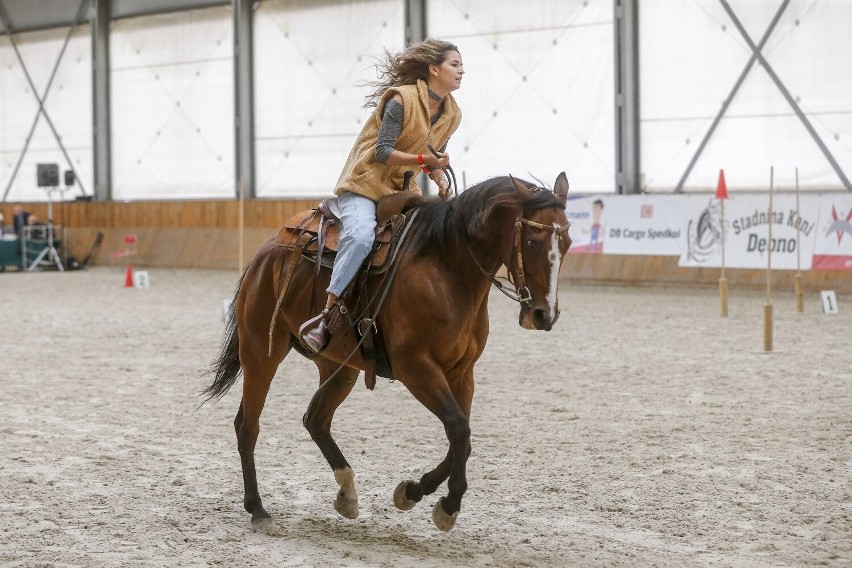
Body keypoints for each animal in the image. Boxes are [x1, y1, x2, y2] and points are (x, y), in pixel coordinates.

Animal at [202, 172, 568, 532]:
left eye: (566, 243)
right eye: (532, 242)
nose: (543, 315)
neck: (446, 268)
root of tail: (266, 253)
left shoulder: (462, 372)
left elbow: (461, 437)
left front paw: (412, 492)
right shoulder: (416, 368)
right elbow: (458, 429)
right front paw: (447, 506)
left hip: (340, 367)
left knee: (315, 420)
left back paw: (347, 494)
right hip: (261, 352)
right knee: (247, 425)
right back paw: (258, 508)